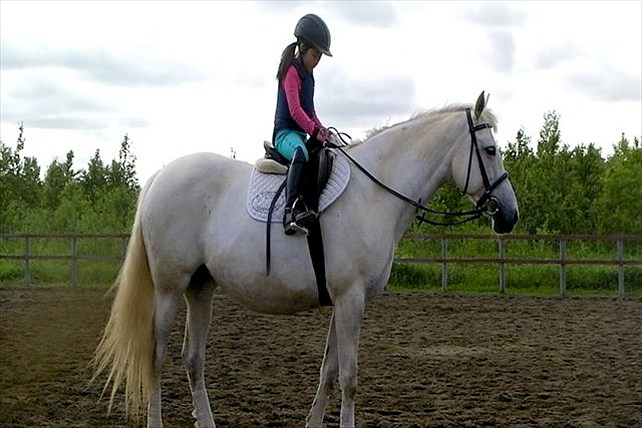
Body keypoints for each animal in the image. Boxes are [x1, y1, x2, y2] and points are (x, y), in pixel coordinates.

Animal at [94, 92, 519, 428]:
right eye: (490, 150)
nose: (510, 215)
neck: (374, 192)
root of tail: (160, 175)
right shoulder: (350, 300)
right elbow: (348, 377)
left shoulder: (345, 301)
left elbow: (328, 372)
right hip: (169, 288)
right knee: (156, 356)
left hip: (200, 288)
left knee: (192, 358)